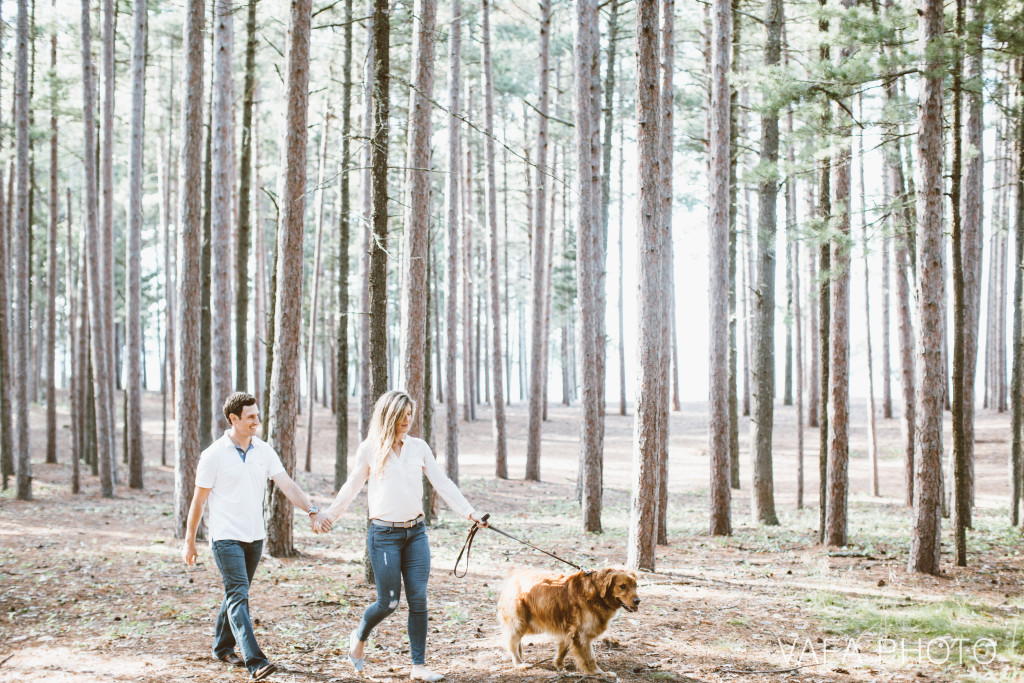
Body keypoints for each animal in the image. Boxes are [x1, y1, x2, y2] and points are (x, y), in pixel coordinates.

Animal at [497, 565, 638, 679]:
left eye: (636, 585)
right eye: (622, 586)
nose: (638, 601)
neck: (596, 593)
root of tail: (513, 577)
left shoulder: (570, 630)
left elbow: (563, 649)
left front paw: (558, 664)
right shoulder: (582, 634)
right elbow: (590, 658)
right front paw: (599, 673)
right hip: (519, 622)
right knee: (512, 643)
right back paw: (519, 663)